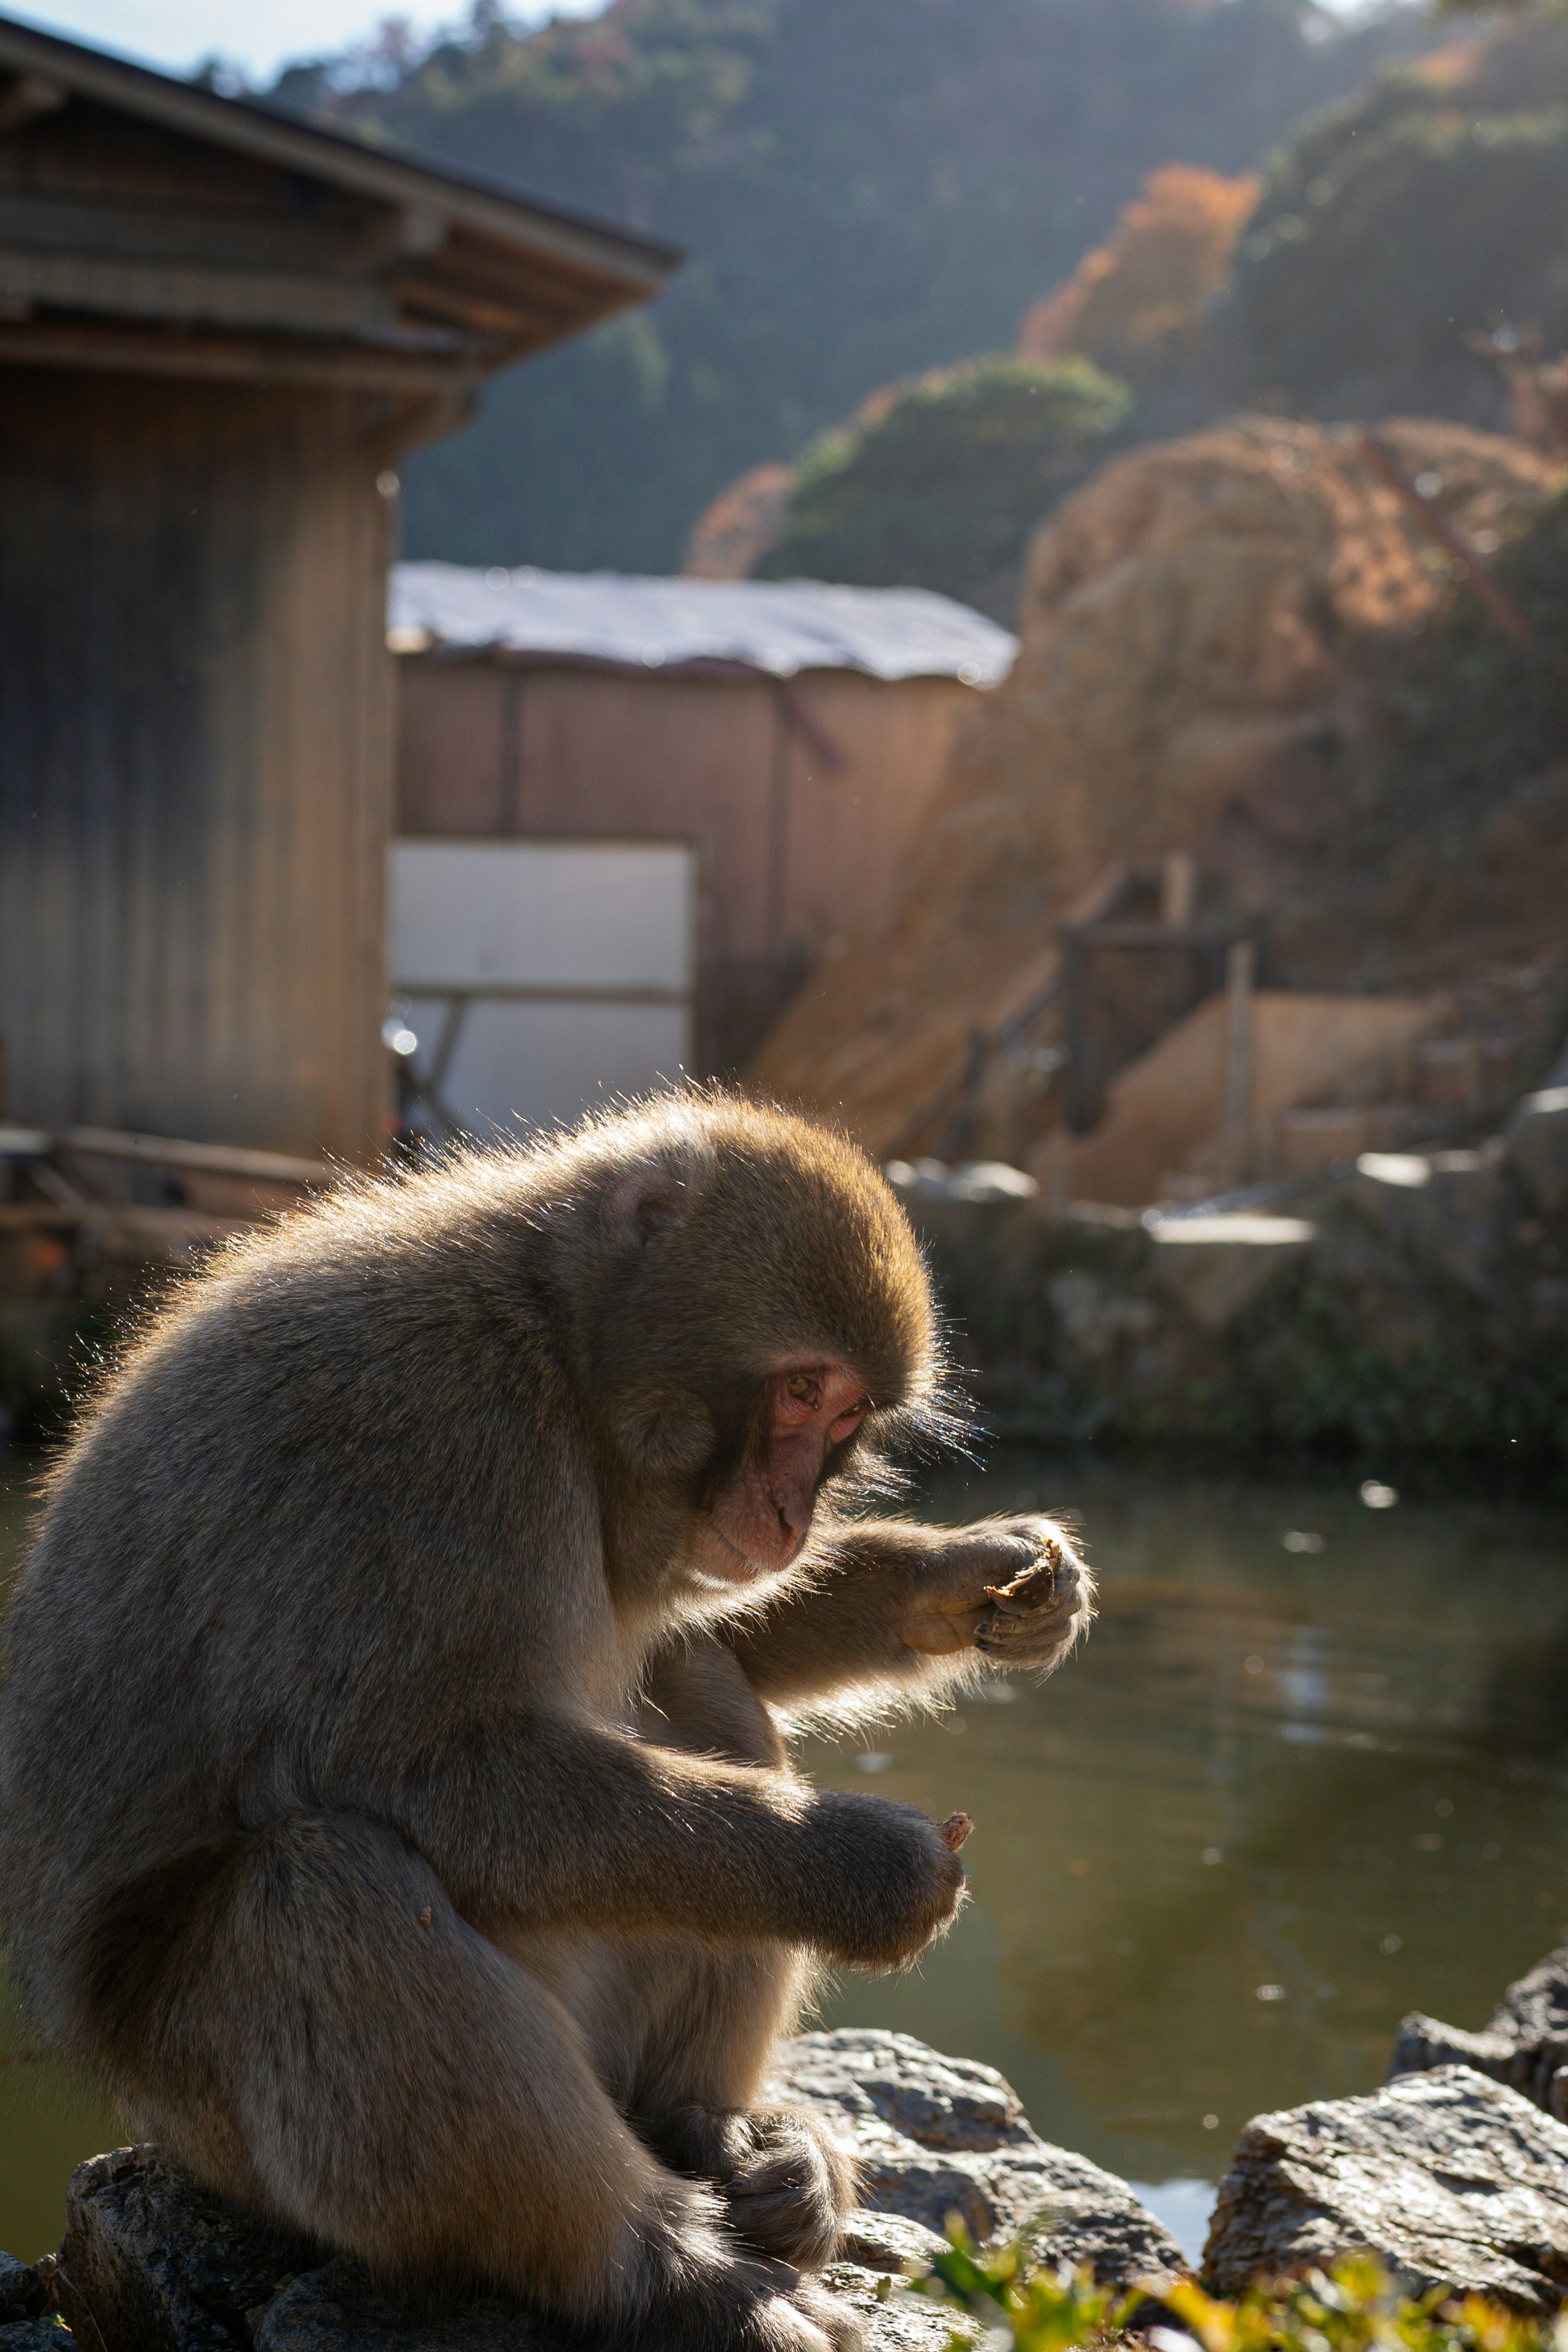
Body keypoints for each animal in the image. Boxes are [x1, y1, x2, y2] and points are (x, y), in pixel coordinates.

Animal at [0, 1094, 1092, 2352]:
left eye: (847, 1414)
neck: (557, 1347)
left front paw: (969, 1578)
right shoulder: (430, 1429)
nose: (788, 1510)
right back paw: (659, 2270)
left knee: (694, 1677)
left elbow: (714, 1626)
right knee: (316, 1889)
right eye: (799, 1391)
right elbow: (417, 1766)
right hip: (208, 2123)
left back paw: (718, 2136)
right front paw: (858, 1864)